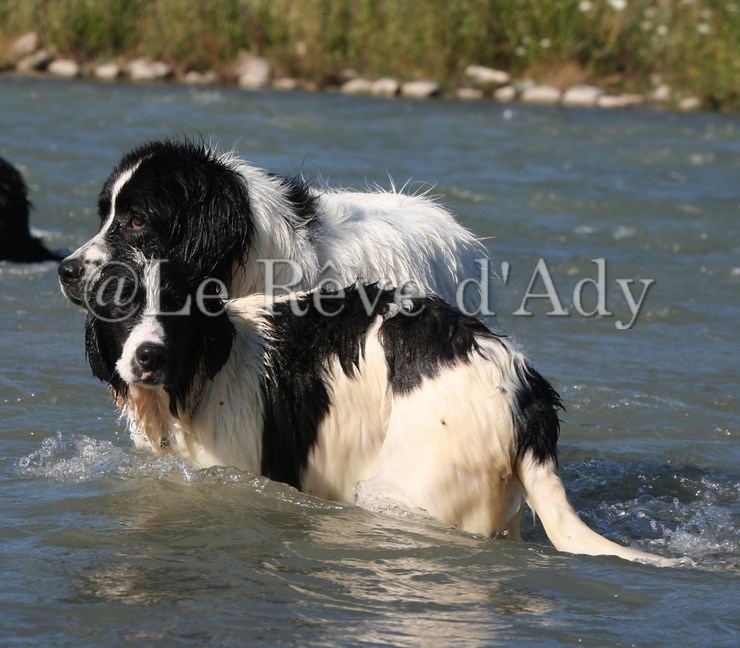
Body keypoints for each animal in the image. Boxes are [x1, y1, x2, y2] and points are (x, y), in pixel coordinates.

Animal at [82, 257, 676, 567]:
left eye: (177, 309)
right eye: (121, 304)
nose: (149, 356)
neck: (205, 368)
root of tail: (521, 385)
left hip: (403, 489)